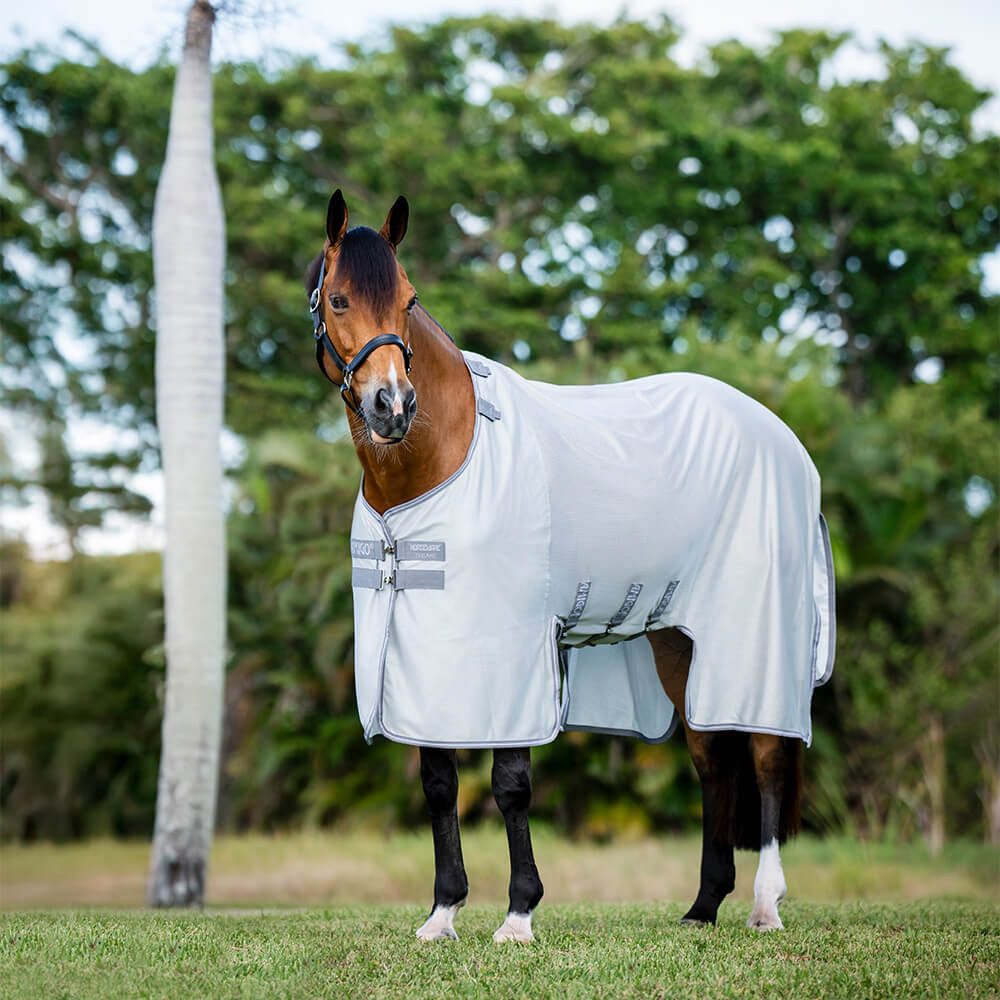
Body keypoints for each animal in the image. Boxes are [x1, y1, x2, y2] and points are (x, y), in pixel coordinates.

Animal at [304, 189, 834, 941]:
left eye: (408, 299)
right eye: (339, 299)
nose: (393, 406)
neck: (444, 458)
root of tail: (785, 439)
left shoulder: (510, 649)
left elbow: (510, 785)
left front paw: (518, 914)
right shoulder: (426, 649)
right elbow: (439, 786)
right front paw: (442, 914)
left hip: (754, 640)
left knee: (764, 756)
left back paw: (763, 905)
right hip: (679, 641)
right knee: (711, 762)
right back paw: (703, 907)